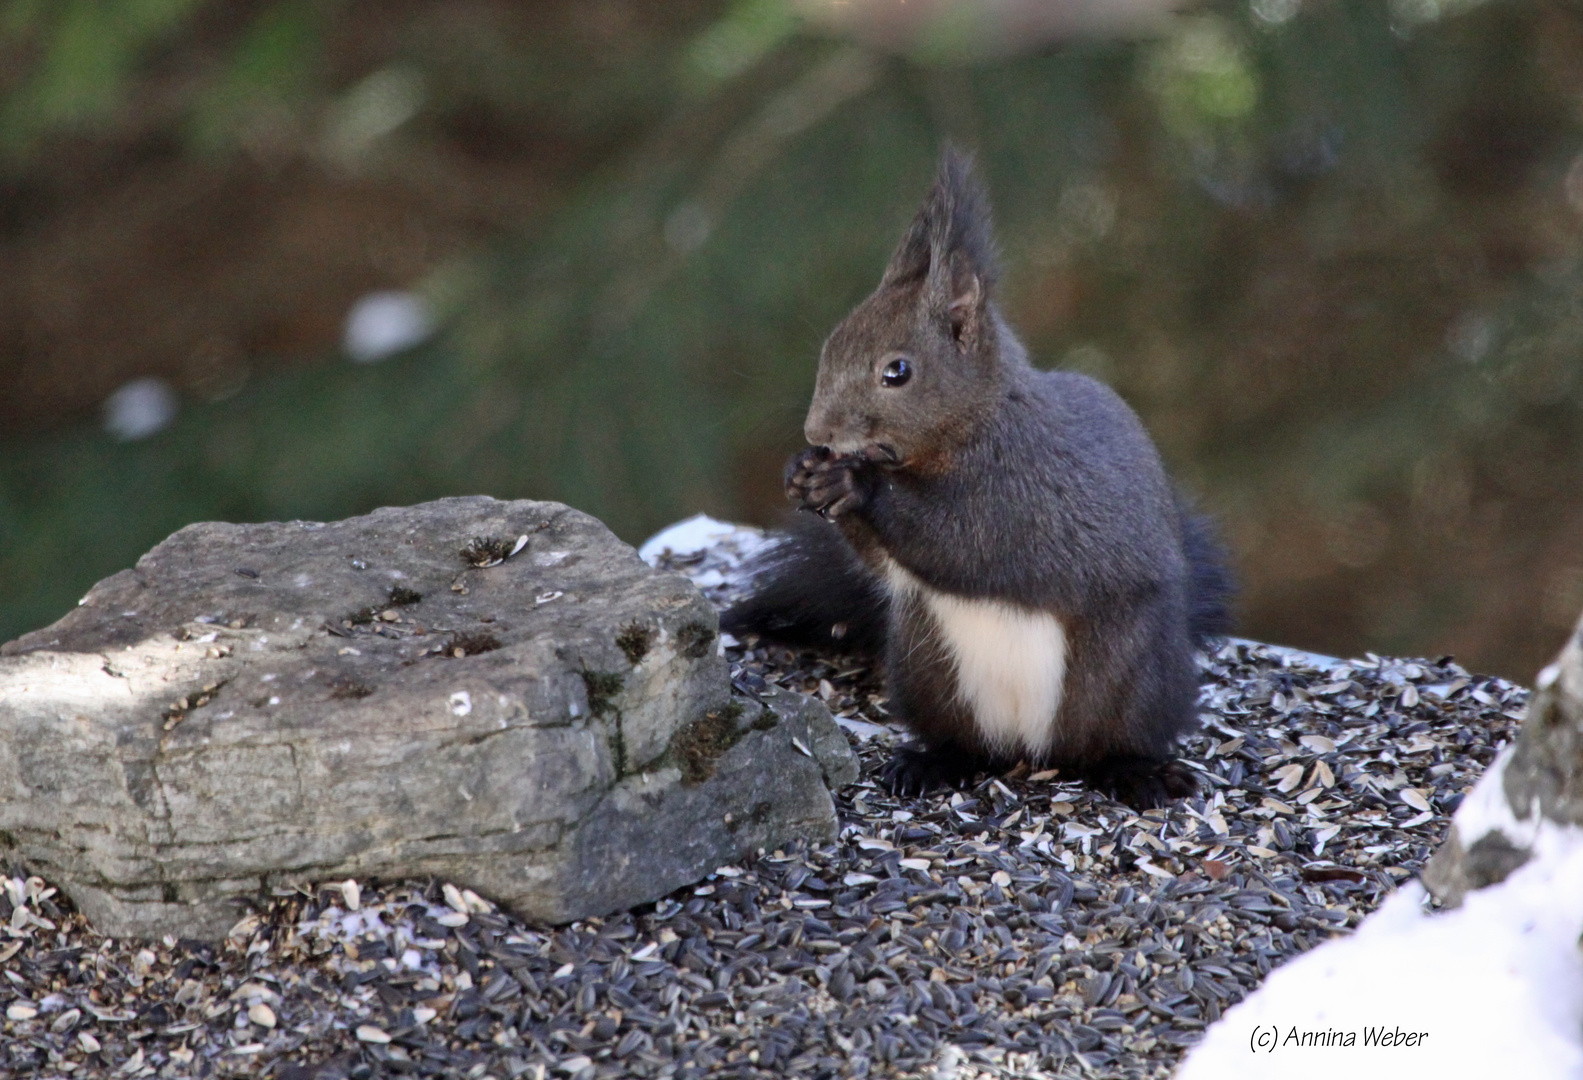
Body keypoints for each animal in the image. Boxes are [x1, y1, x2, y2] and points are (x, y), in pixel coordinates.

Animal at [728, 149, 1234, 807]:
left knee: (1112, 740)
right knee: (966, 744)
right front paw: (804, 473)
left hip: (1126, 676)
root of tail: (1029, 749)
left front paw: (853, 485)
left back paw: (1135, 771)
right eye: (831, 345)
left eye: (898, 371)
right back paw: (930, 763)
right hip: (929, 669)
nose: (819, 430)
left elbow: (962, 538)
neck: (970, 426)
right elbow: (882, 564)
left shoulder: (1021, 491)